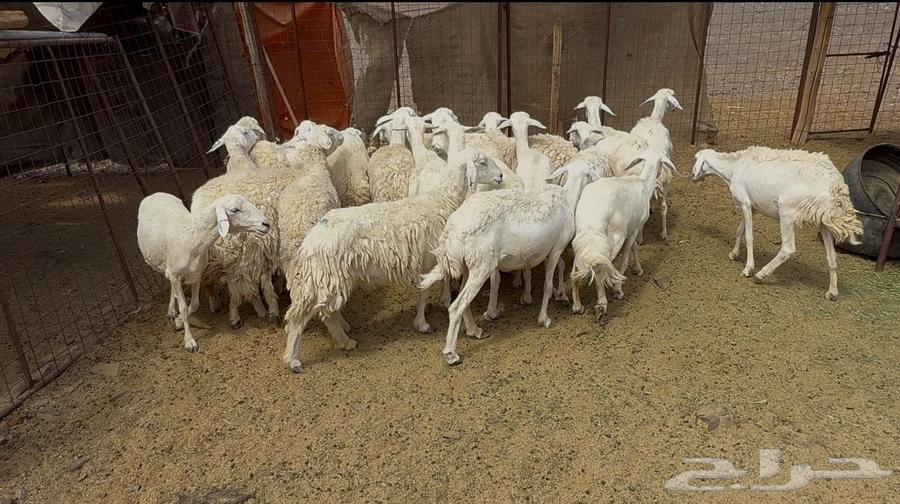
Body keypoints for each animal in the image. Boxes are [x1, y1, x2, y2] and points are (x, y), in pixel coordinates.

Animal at [137, 192, 270, 352]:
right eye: (234, 210)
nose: (266, 224)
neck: (192, 240)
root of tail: (155, 194)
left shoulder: (196, 274)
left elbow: (194, 304)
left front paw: (179, 321)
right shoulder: (175, 274)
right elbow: (183, 307)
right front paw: (189, 341)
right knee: (168, 280)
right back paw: (171, 310)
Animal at [281, 149, 504, 371]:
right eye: (482, 163)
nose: (501, 176)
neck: (443, 200)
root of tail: (310, 240)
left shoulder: (426, 262)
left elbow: (423, 292)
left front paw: (422, 322)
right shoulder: (432, 259)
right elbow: (436, 295)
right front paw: (430, 324)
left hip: (330, 278)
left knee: (326, 312)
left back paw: (342, 336)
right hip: (328, 275)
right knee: (304, 316)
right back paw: (297, 358)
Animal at [419, 160, 601, 365]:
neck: (568, 198)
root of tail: (453, 229)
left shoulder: (547, 250)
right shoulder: (556, 247)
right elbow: (547, 285)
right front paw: (544, 318)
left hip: (469, 265)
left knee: (462, 302)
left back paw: (475, 331)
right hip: (482, 265)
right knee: (456, 307)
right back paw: (451, 353)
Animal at [569, 149, 673, 322]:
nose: (660, 176)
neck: (644, 183)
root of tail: (593, 219)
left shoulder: (633, 228)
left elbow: (636, 248)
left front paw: (638, 269)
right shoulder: (633, 230)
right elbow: (626, 257)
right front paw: (618, 289)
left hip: (583, 241)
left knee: (575, 271)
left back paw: (577, 305)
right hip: (614, 238)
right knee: (602, 267)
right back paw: (602, 304)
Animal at [691, 146, 863, 300]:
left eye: (696, 159)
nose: (691, 174)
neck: (732, 169)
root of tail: (835, 185)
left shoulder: (745, 203)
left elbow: (749, 236)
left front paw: (748, 268)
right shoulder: (751, 207)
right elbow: (740, 230)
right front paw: (734, 254)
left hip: (787, 210)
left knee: (788, 249)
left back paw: (761, 275)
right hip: (824, 220)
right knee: (831, 256)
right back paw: (832, 292)